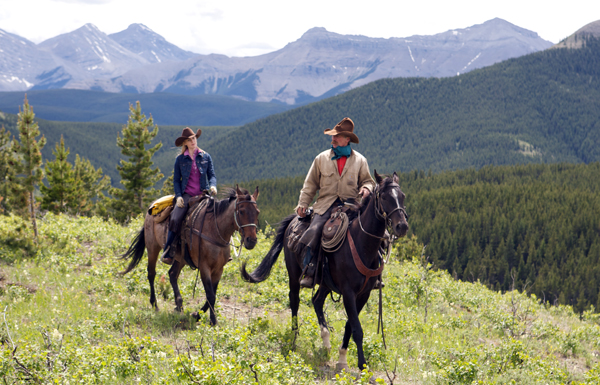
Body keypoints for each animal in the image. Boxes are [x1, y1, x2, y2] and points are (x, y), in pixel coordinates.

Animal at [122, 186, 260, 324]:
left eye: (257, 212)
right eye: (241, 211)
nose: (251, 241)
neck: (215, 230)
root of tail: (152, 207)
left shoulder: (219, 269)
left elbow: (213, 294)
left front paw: (202, 316)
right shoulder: (204, 267)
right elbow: (210, 295)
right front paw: (206, 318)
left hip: (180, 258)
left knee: (172, 275)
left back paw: (179, 305)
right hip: (152, 247)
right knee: (151, 273)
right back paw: (155, 305)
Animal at [239, 171, 408, 368]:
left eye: (402, 196)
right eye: (384, 197)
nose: (402, 226)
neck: (362, 244)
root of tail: (294, 220)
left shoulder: (363, 294)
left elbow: (350, 325)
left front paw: (342, 359)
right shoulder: (348, 292)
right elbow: (357, 328)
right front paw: (362, 364)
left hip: (326, 282)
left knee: (317, 301)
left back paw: (326, 342)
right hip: (294, 275)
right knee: (294, 301)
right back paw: (294, 339)